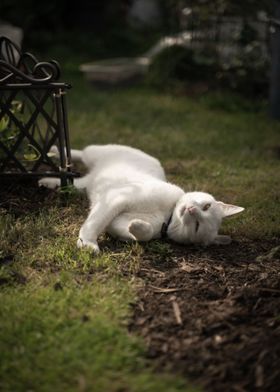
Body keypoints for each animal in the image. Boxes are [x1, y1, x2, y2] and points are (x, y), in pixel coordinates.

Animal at [38, 145, 244, 254]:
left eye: (197, 226)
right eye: (206, 206)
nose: (192, 210)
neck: (166, 216)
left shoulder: (117, 220)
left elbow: (140, 233)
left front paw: (137, 226)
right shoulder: (118, 198)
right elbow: (95, 223)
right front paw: (88, 243)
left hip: (84, 185)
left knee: (73, 183)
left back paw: (47, 182)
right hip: (95, 154)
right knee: (79, 153)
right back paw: (54, 151)